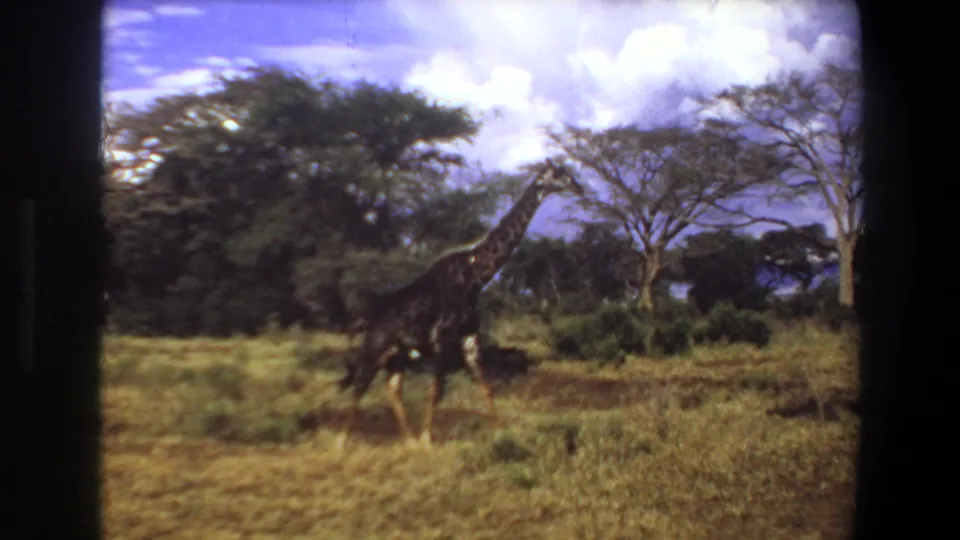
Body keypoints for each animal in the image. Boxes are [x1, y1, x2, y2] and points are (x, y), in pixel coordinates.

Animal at [335, 158, 585, 450]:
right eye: (558, 174)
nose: (578, 187)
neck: (474, 278)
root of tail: (369, 315)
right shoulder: (442, 338)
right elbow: (436, 389)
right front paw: (428, 439)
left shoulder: (469, 336)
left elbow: (485, 385)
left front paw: (501, 432)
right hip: (376, 347)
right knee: (360, 385)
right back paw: (342, 441)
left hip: (397, 355)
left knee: (392, 388)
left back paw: (408, 440)